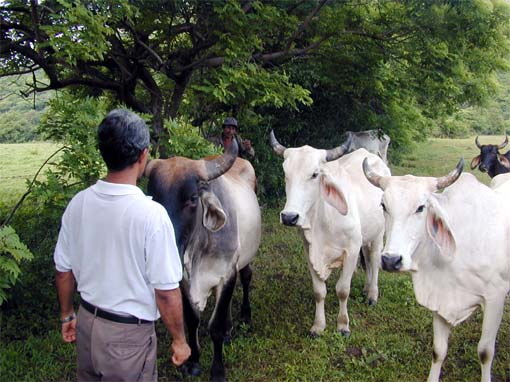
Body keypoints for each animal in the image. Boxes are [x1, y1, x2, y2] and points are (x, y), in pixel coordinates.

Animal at [145, 142, 260, 380]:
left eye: (192, 198)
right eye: (153, 198)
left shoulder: (227, 274)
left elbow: (215, 327)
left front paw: (217, 371)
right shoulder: (183, 281)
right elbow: (191, 320)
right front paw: (193, 361)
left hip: (243, 260)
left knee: (246, 278)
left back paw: (244, 316)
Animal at [270, 132, 390, 338]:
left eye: (314, 174)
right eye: (286, 174)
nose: (289, 217)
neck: (324, 221)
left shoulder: (351, 251)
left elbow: (342, 290)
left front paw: (343, 325)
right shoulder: (309, 251)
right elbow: (319, 292)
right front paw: (318, 326)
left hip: (378, 233)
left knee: (374, 260)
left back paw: (372, 294)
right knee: (367, 257)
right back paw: (366, 288)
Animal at [362, 160, 510, 382]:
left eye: (421, 207)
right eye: (383, 206)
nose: (390, 260)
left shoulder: (495, 298)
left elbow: (485, 352)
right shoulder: (439, 297)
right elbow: (438, 350)